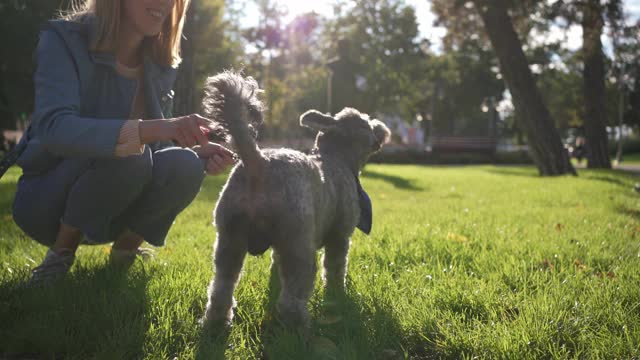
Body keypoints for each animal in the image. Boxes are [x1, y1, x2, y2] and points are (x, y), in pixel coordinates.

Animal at [201, 71, 390, 328]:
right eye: (366, 123)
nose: (382, 129)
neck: (336, 158)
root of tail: (259, 163)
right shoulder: (339, 236)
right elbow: (335, 269)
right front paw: (337, 294)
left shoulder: (277, 246)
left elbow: (275, 267)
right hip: (297, 241)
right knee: (293, 294)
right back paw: (300, 324)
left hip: (230, 237)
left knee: (222, 285)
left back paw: (217, 322)